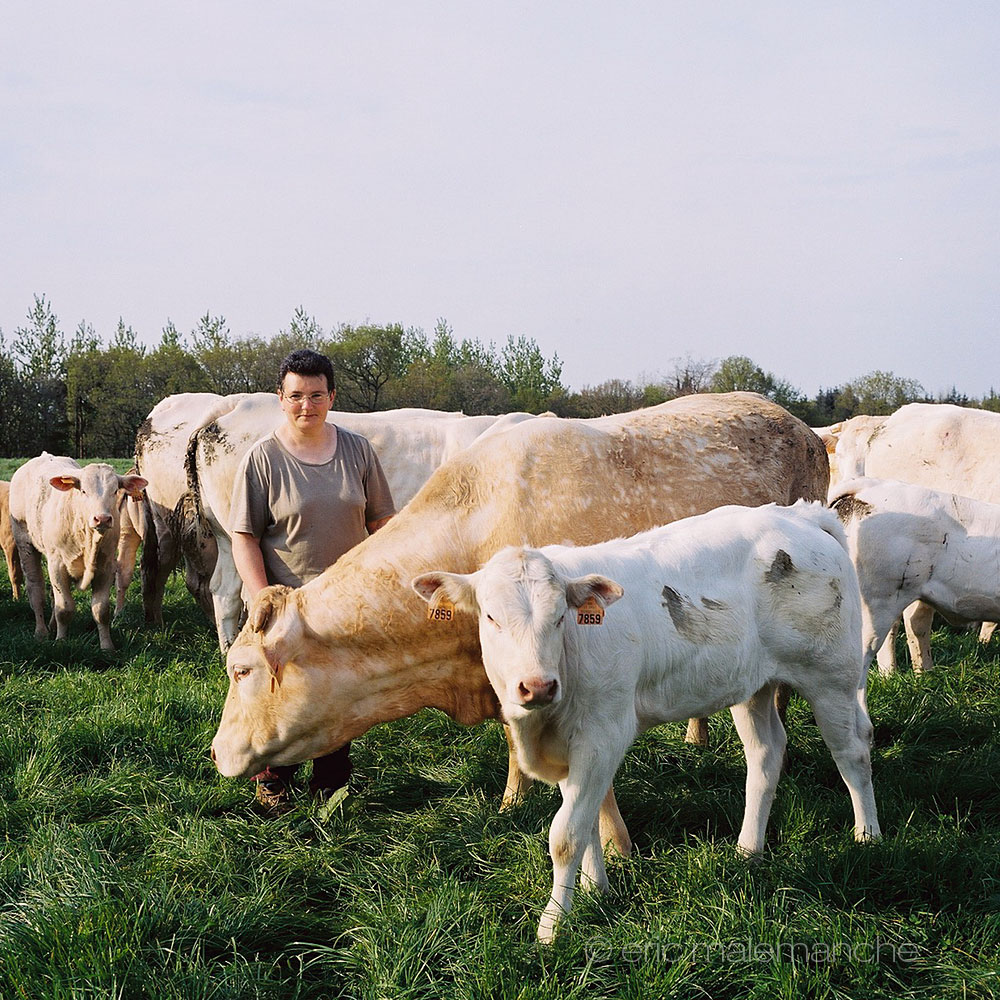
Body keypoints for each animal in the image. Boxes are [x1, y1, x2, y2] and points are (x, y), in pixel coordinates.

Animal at [10, 456, 147, 656]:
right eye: (83, 491)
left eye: (115, 490)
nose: (102, 518)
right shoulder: (57, 565)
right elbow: (64, 609)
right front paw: (61, 641)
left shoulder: (106, 567)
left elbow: (101, 611)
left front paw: (107, 647)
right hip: (25, 544)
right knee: (36, 590)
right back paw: (41, 632)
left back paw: (51, 625)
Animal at [410, 504, 880, 940]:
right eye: (491, 617)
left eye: (560, 617)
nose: (537, 686)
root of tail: (800, 515)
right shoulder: (572, 746)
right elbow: (587, 821)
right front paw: (594, 890)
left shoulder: (602, 734)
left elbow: (566, 833)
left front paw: (552, 926)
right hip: (753, 686)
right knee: (766, 755)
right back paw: (748, 850)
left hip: (830, 677)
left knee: (852, 751)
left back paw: (867, 837)